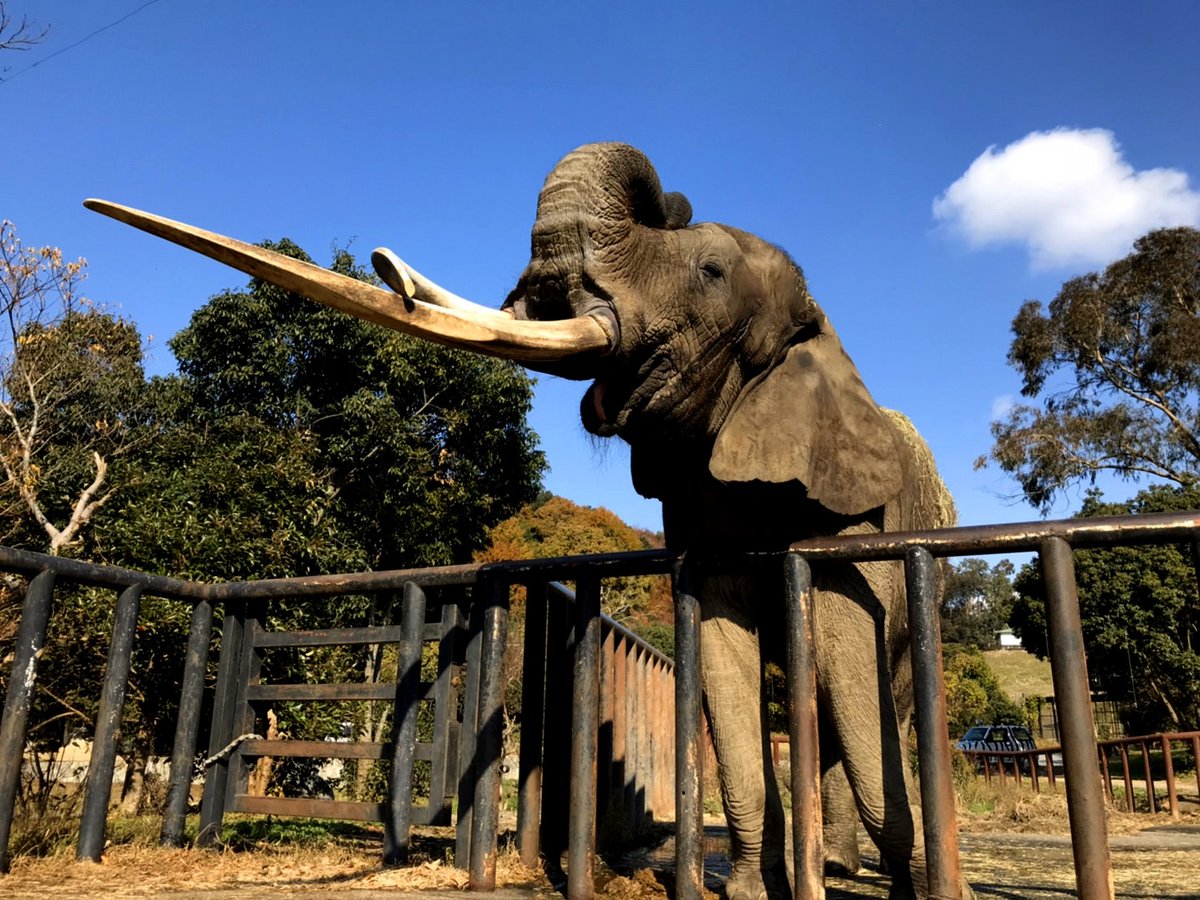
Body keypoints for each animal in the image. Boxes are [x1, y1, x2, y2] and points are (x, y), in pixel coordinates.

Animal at [87, 142, 955, 900]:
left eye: (710, 273)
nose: (383, 263)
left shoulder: (853, 511)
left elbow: (849, 651)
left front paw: (908, 889)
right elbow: (722, 650)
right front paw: (747, 892)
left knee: (873, 697)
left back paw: (848, 869)